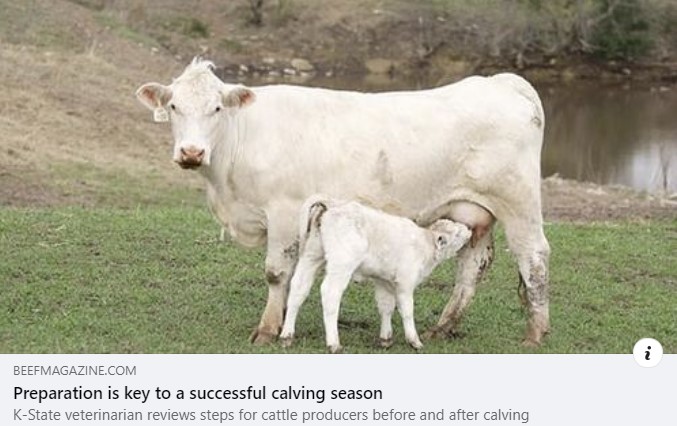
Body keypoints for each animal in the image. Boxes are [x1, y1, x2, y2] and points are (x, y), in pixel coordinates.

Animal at [278, 196, 470, 352]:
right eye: (457, 233)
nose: (469, 229)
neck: (425, 244)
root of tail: (333, 203)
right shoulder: (405, 282)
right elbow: (407, 310)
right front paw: (414, 341)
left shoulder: (384, 280)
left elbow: (386, 306)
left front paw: (385, 339)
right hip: (342, 263)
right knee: (330, 293)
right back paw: (334, 343)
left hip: (311, 256)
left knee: (298, 288)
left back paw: (287, 336)